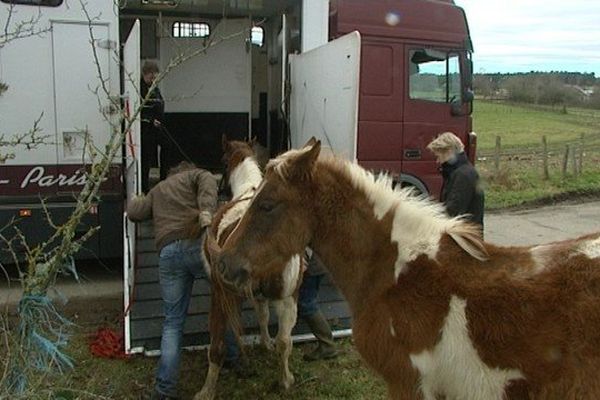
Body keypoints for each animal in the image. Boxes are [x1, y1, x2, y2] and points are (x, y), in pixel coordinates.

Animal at [193, 137, 302, 400]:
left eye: (222, 160)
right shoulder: (264, 296)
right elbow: (264, 317)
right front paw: (266, 343)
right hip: (289, 300)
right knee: (286, 341)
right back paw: (285, 380)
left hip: (220, 297)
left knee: (217, 347)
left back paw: (206, 390)